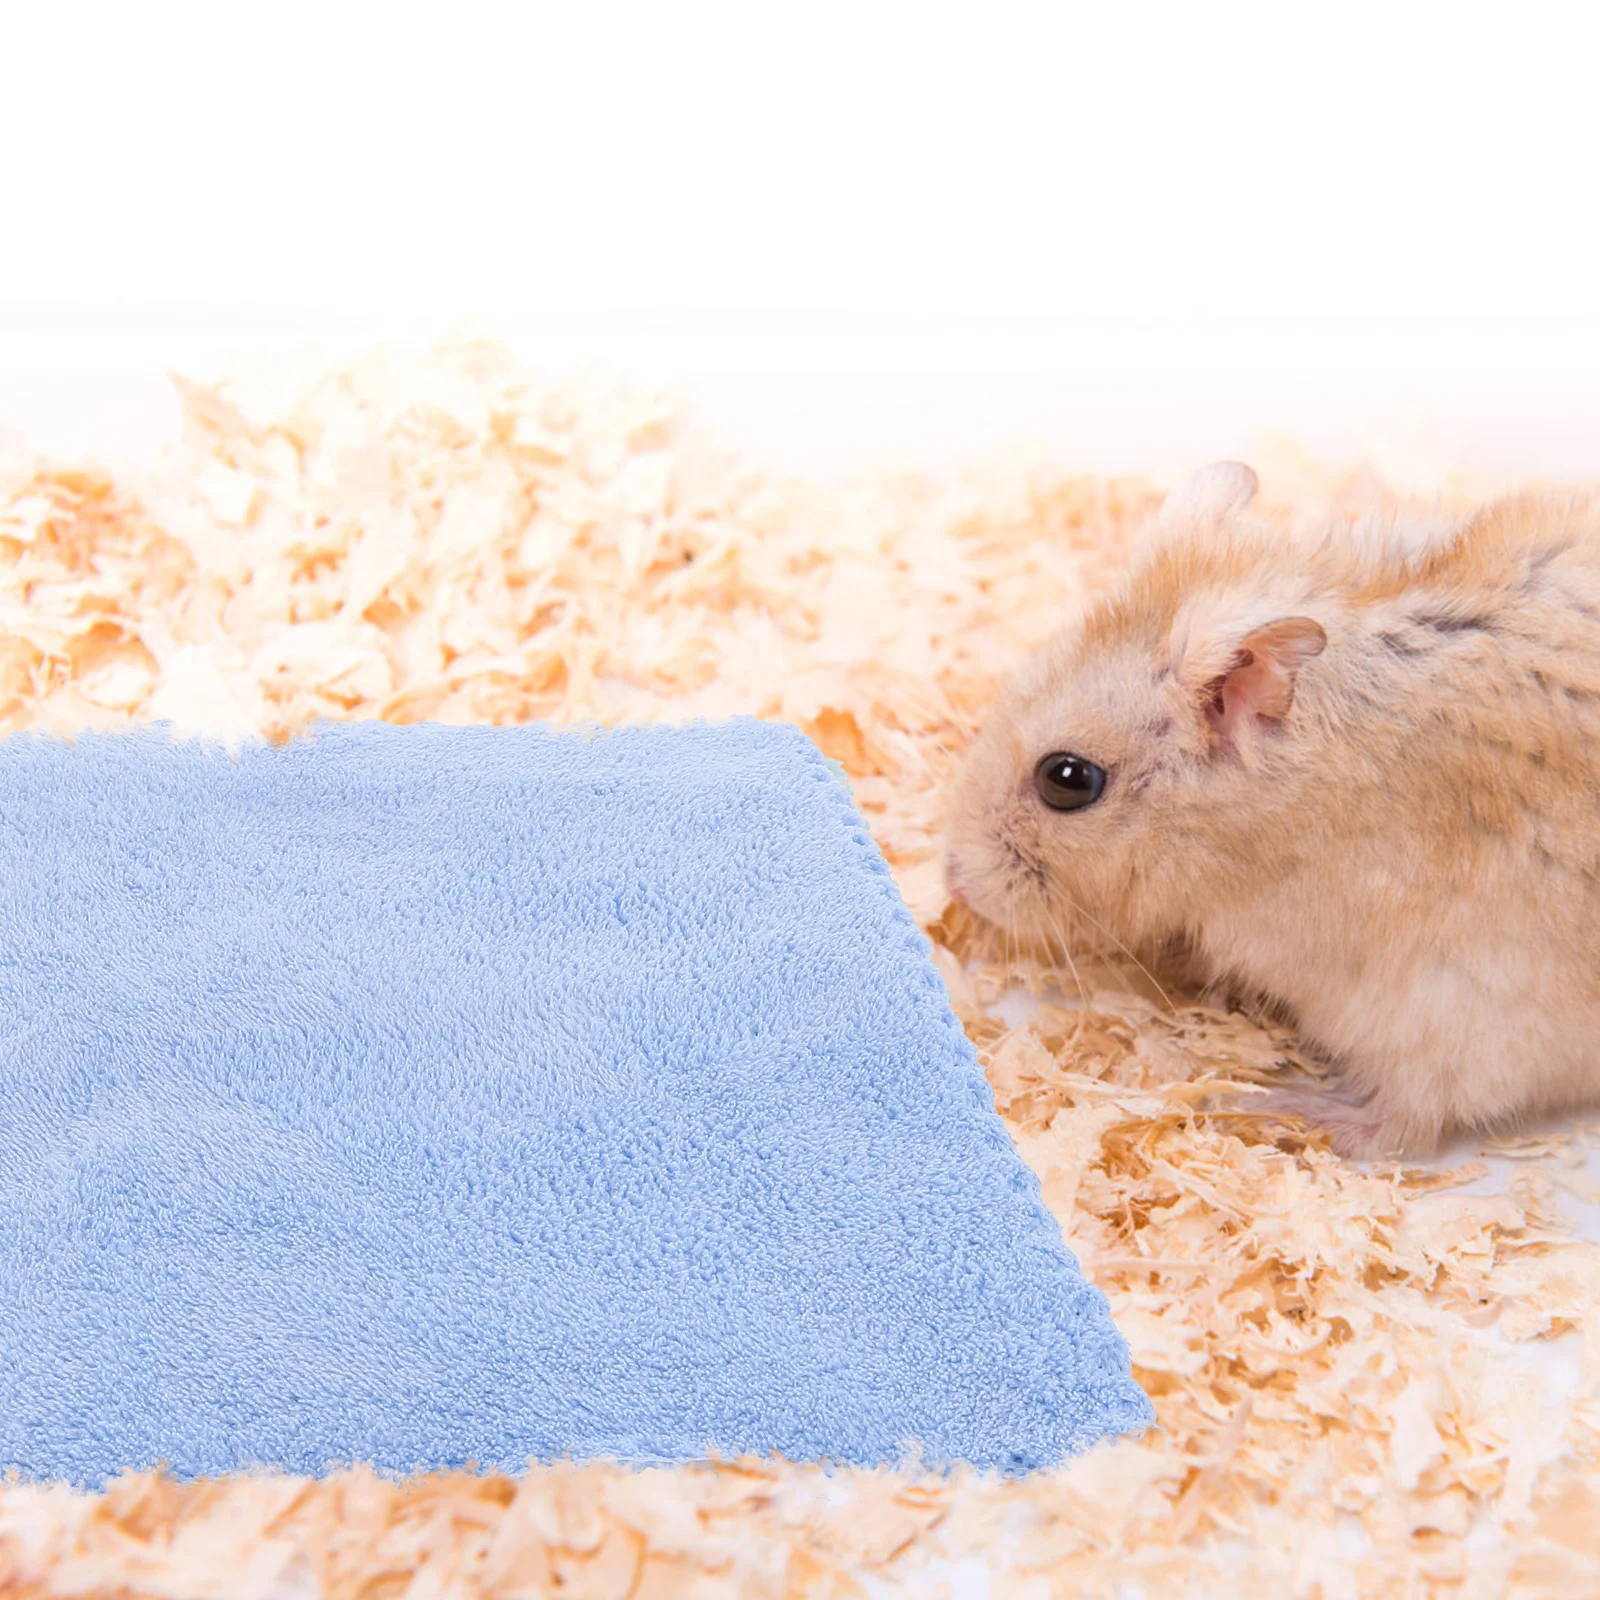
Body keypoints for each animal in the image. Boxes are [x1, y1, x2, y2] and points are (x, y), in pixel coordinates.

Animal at [943, 462, 1600, 1158]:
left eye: (1066, 780)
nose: (953, 883)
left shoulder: (1459, 997)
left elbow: (1408, 1118)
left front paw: (1250, 1102)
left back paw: (1278, 1109)